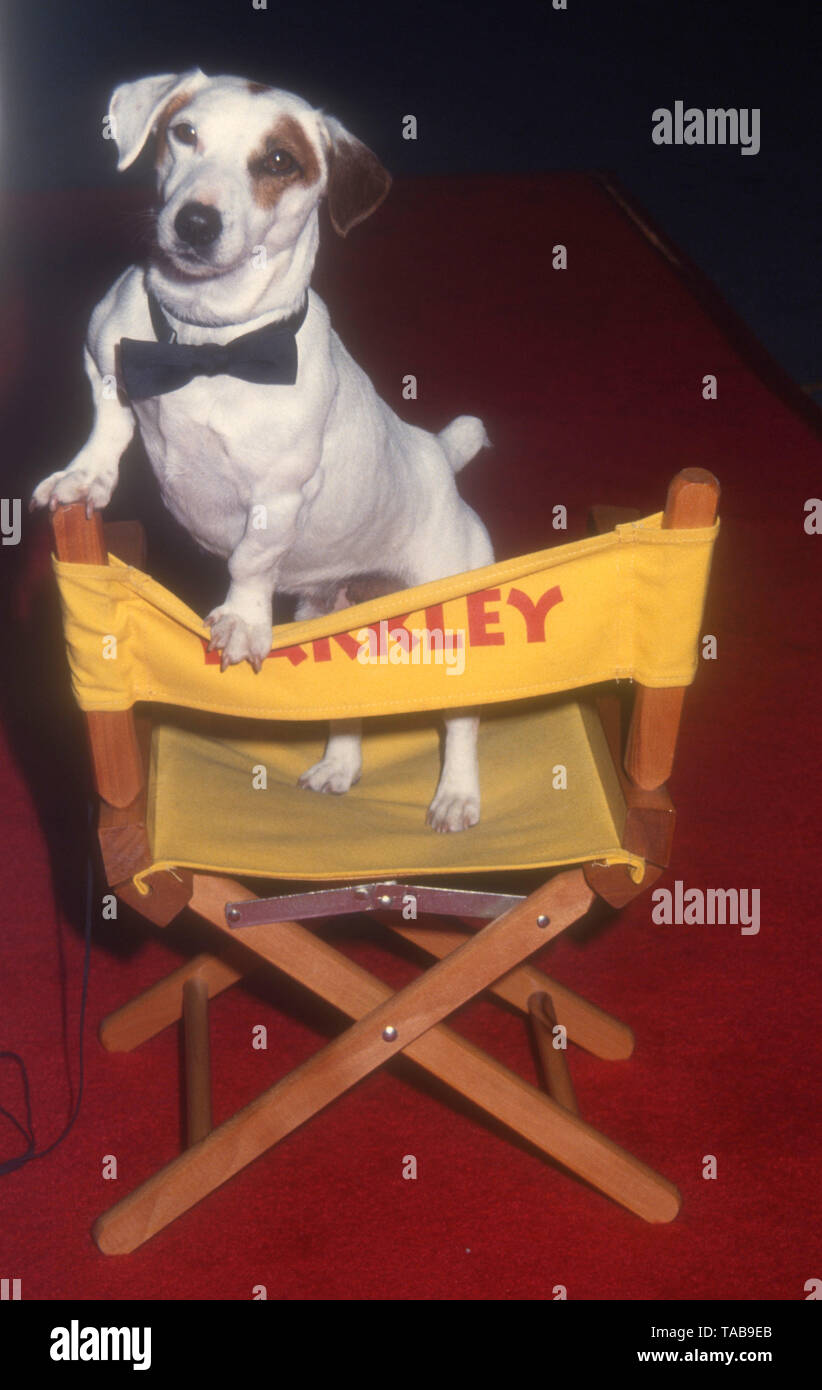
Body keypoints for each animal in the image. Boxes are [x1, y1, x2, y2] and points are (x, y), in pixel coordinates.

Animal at [32, 70, 495, 828]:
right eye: (183, 133)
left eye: (279, 161)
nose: (195, 222)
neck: (209, 346)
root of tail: (439, 458)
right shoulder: (106, 362)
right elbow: (108, 427)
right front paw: (85, 477)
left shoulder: (277, 495)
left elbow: (250, 559)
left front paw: (243, 620)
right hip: (333, 622)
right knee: (347, 704)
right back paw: (339, 766)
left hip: (447, 619)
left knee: (460, 720)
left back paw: (456, 795)